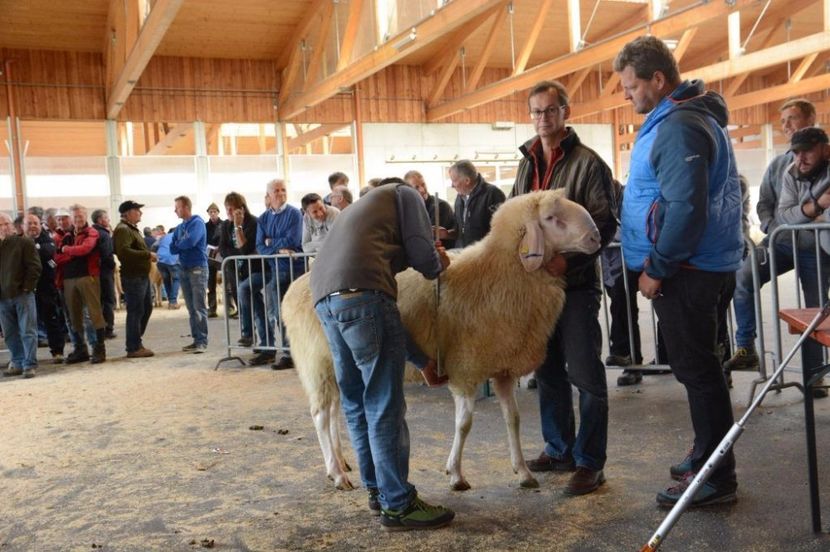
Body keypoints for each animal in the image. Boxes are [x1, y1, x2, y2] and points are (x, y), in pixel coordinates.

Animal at [282, 191, 600, 492]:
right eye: (550, 218)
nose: (596, 237)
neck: (501, 272)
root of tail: (294, 288)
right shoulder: (465, 367)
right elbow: (464, 423)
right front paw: (456, 474)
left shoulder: (502, 368)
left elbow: (513, 419)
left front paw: (523, 472)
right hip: (316, 362)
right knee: (321, 415)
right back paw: (336, 474)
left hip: (334, 363)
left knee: (334, 411)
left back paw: (340, 462)